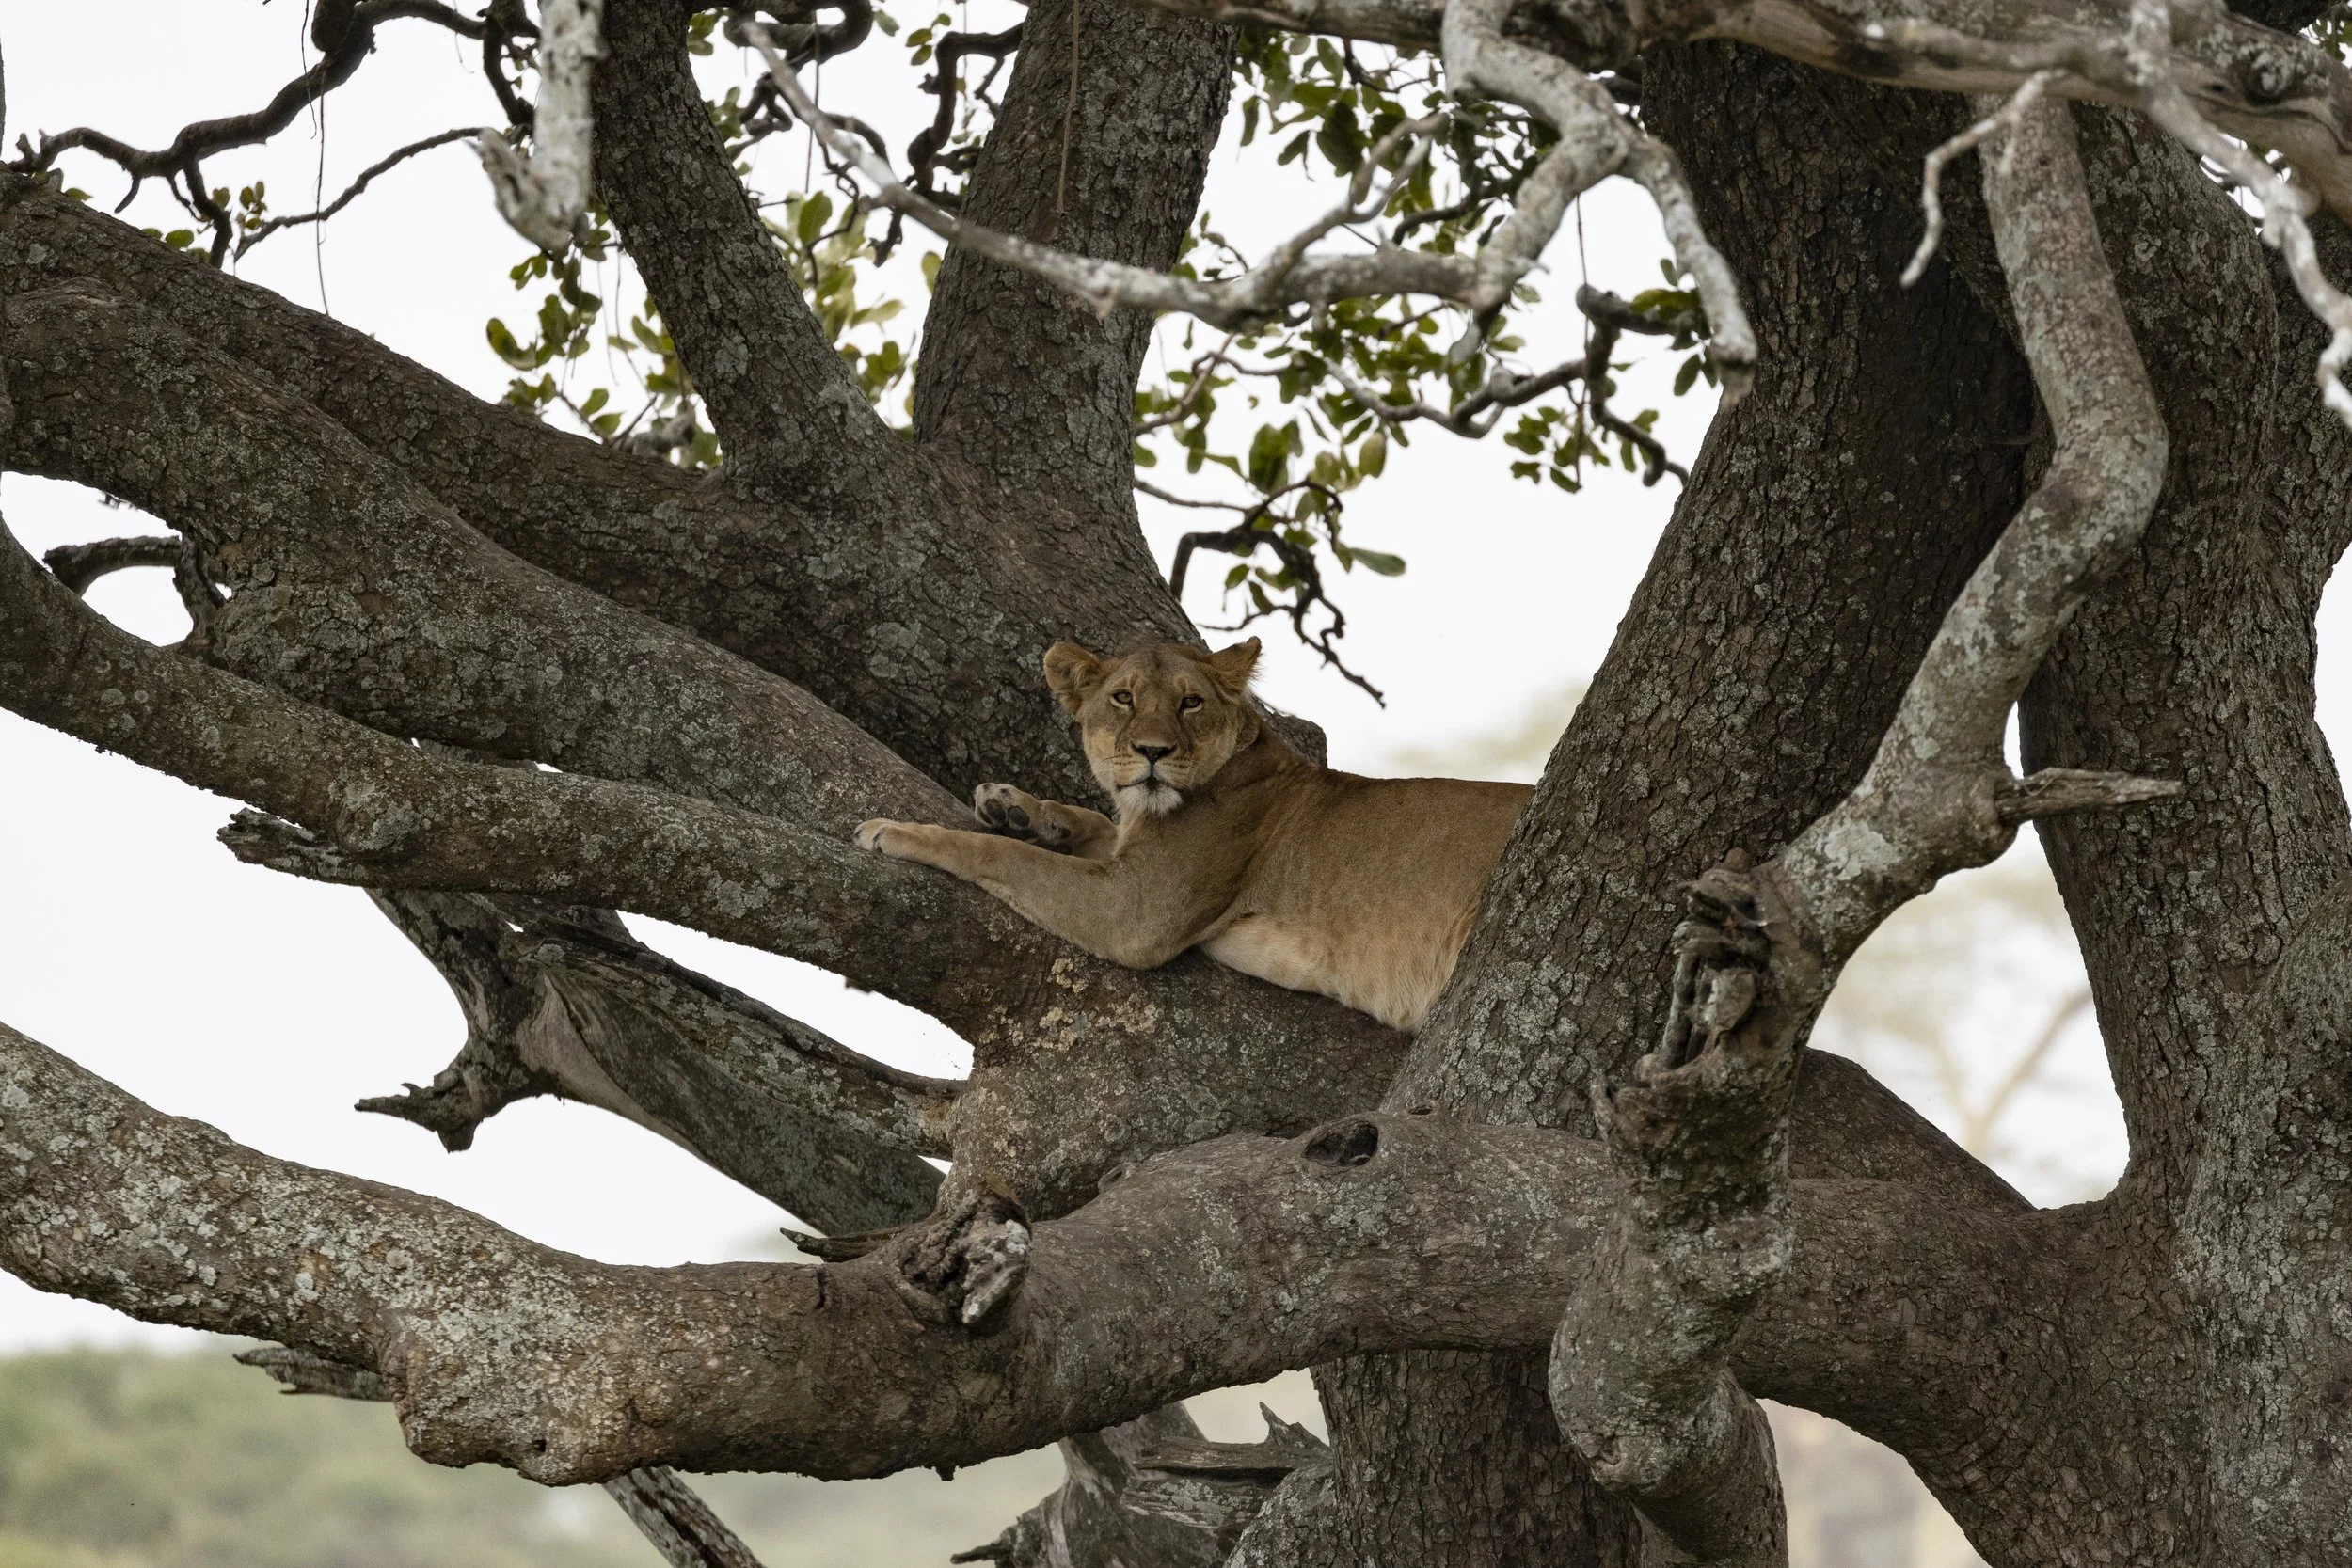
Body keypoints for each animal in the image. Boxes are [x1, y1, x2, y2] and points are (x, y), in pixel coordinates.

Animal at [854, 638, 1531, 1032]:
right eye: (1123, 698)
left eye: (1190, 703)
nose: (1153, 752)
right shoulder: (1131, 861)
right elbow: (1092, 823)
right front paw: (1013, 806)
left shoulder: (1135, 911)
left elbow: (996, 853)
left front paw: (894, 829)